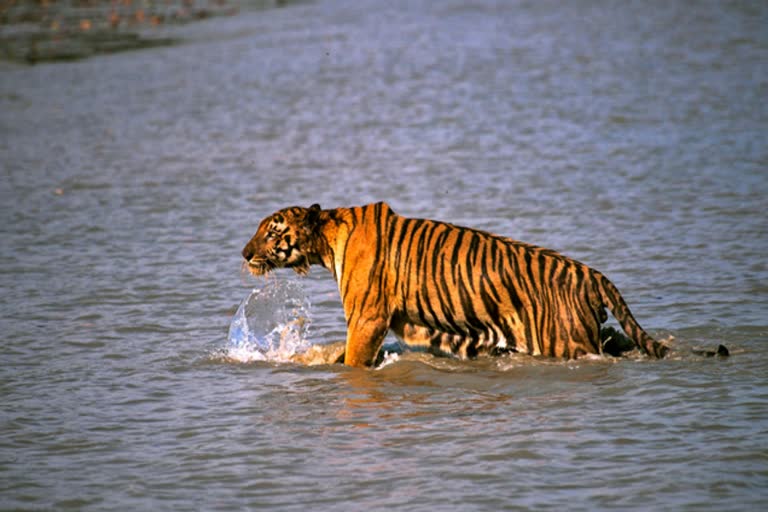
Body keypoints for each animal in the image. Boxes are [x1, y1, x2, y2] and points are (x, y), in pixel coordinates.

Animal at [242, 202, 672, 366]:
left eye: (271, 231)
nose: (244, 254)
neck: (327, 240)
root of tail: (594, 275)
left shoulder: (367, 318)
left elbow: (353, 360)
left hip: (567, 342)